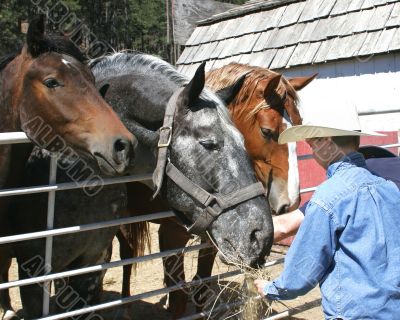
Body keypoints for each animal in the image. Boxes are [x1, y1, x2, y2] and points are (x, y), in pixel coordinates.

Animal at [119, 62, 316, 318]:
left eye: (299, 124)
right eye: (266, 131)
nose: (290, 201)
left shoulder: (212, 238)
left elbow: (201, 287)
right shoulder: (171, 235)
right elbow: (178, 298)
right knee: (127, 256)